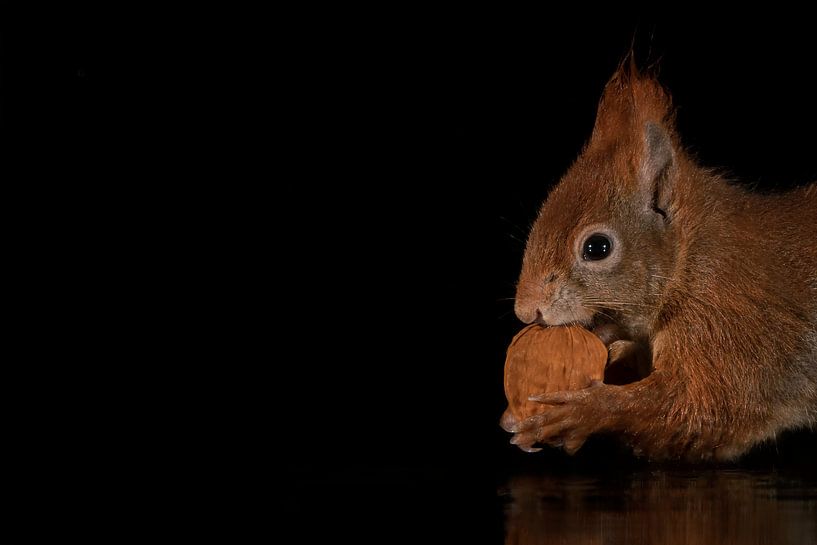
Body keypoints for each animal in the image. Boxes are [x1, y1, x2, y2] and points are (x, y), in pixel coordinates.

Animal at [503, 63, 817, 461]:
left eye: (597, 248)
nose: (526, 310)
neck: (688, 259)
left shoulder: (728, 325)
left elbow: (704, 408)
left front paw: (585, 412)